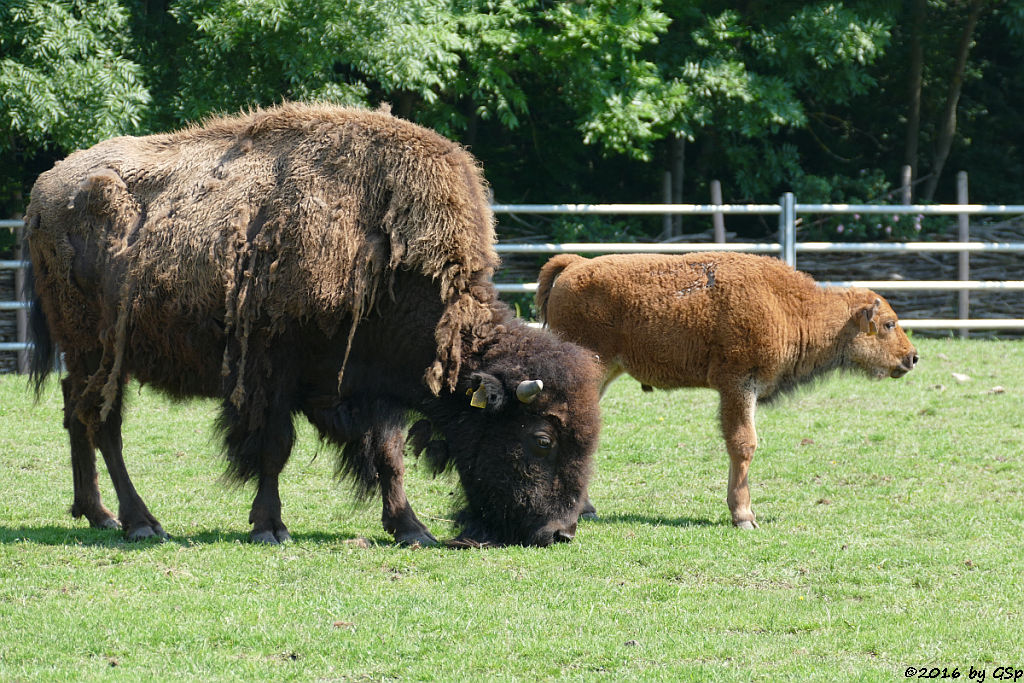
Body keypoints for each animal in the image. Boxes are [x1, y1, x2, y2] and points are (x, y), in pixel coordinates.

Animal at [25, 102, 598, 548]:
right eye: (541, 440)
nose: (559, 532)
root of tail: (45, 189)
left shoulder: (366, 389)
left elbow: (388, 456)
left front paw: (412, 529)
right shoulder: (276, 373)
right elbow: (275, 449)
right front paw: (269, 527)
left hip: (89, 358)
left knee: (75, 412)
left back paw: (96, 514)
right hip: (99, 352)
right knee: (104, 424)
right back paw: (140, 522)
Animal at [536, 250, 921, 528]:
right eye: (889, 324)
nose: (913, 357)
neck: (790, 307)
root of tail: (575, 265)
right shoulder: (738, 384)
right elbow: (743, 444)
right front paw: (744, 517)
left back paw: (586, 508)